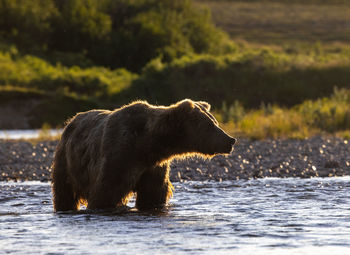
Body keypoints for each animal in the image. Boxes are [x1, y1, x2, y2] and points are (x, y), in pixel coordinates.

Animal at [50, 99, 237, 211]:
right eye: (210, 125)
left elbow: (152, 194)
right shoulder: (118, 157)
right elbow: (105, 192)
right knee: (64, 192)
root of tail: (71, 121)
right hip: (66, 162)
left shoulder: (153, 167)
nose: (230, 140)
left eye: (215, 121)